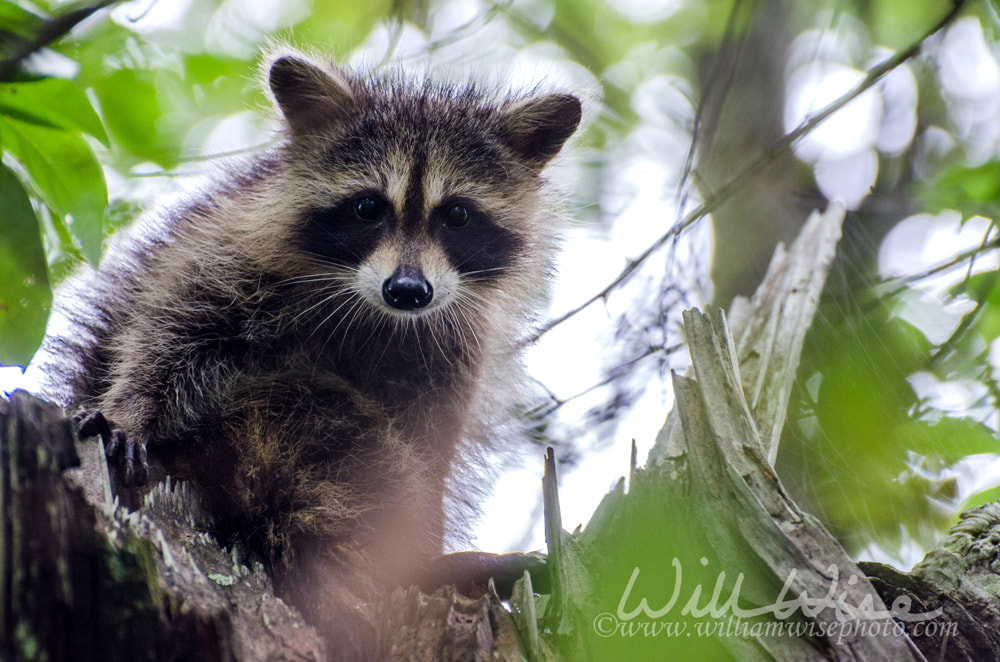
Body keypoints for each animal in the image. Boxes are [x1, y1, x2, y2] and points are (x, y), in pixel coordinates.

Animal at [31, 49, 584, 660]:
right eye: (368, 207)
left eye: (457, 214)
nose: (408, 291)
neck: (374, 310)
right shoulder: (231, 244)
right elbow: (170, 327)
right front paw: (131, 408)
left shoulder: (453, 343)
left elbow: (431, 437)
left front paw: (418, 545)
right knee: (326, 411)